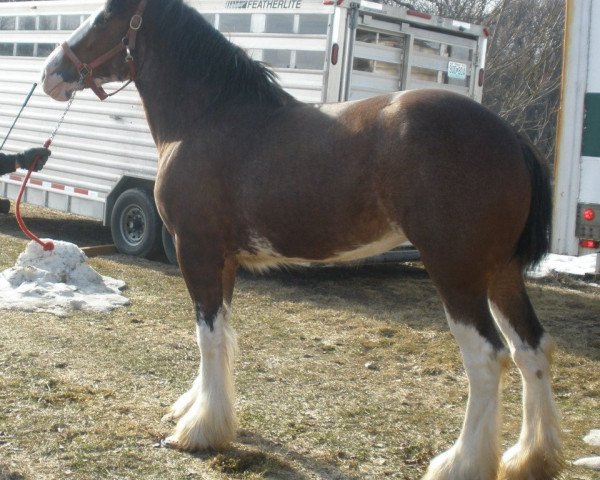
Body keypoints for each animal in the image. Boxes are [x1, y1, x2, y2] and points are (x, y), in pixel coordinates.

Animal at [41, 1, 564, 478]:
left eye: (105, 16)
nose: (51, 72)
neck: (208, 117)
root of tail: (510, 136)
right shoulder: (224, 259)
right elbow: (220, 334)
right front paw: (198, 409)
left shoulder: (197, 249)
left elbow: (207, 335)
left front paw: (200, 430)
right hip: (501, 273)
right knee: (530, 348)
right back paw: (529, 457)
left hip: (456, 272)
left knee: (487, 358)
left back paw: (461, 463)